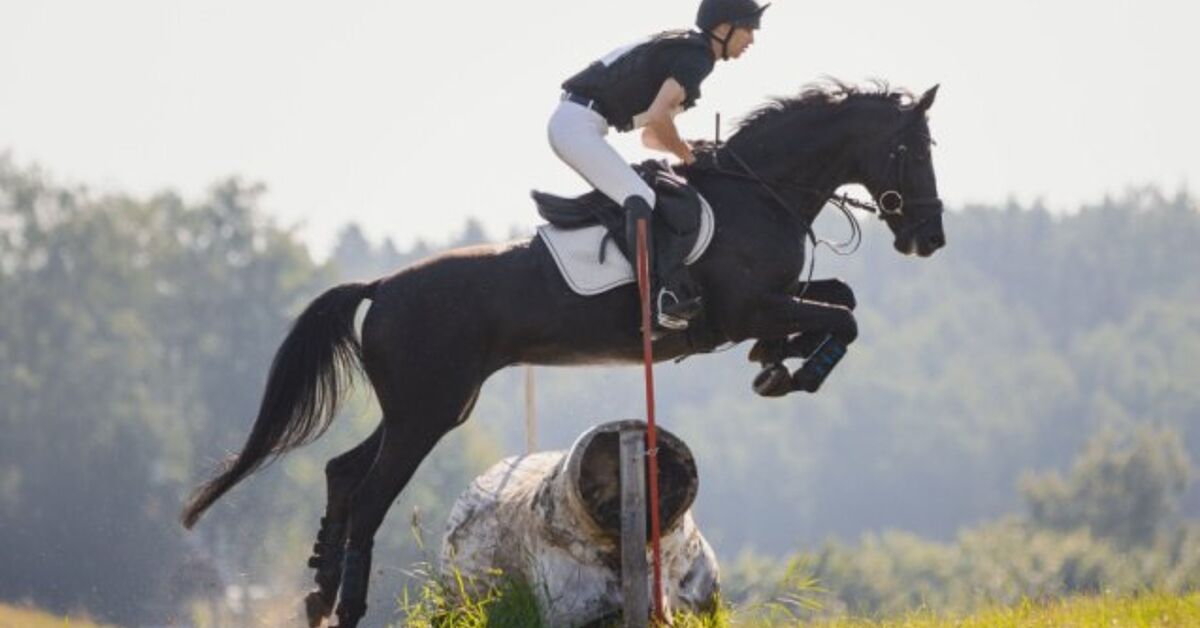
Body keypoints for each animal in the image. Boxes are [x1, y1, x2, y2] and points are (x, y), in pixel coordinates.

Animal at [180, 80, 945, 627]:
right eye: (913, 152)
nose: (929, 238)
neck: (760, 194)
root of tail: (381, 287)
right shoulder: (748, 305)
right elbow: (844, 319)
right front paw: (793, 370)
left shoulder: (772, 301)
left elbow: (840, 300)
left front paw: (776, 360)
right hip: (427, 412)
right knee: (368, 494)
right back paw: (345, 610)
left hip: (430, 408)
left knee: (342, 471)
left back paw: (318, 593)